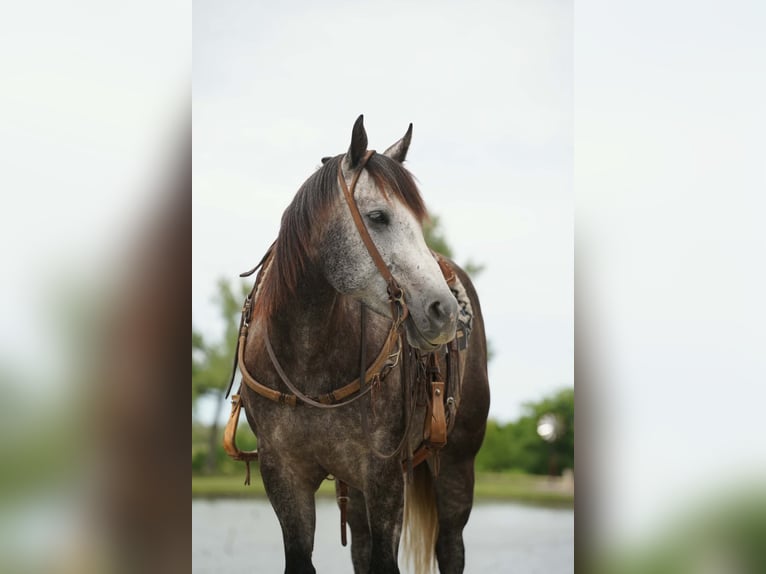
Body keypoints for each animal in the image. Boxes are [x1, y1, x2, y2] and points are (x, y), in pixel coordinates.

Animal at [224, 115, 490, 574]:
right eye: (378, 216)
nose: (444, 311)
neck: (308, 361)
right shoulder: (284, 475)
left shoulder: (384, 475)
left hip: (457, 467)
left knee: (451, 547)